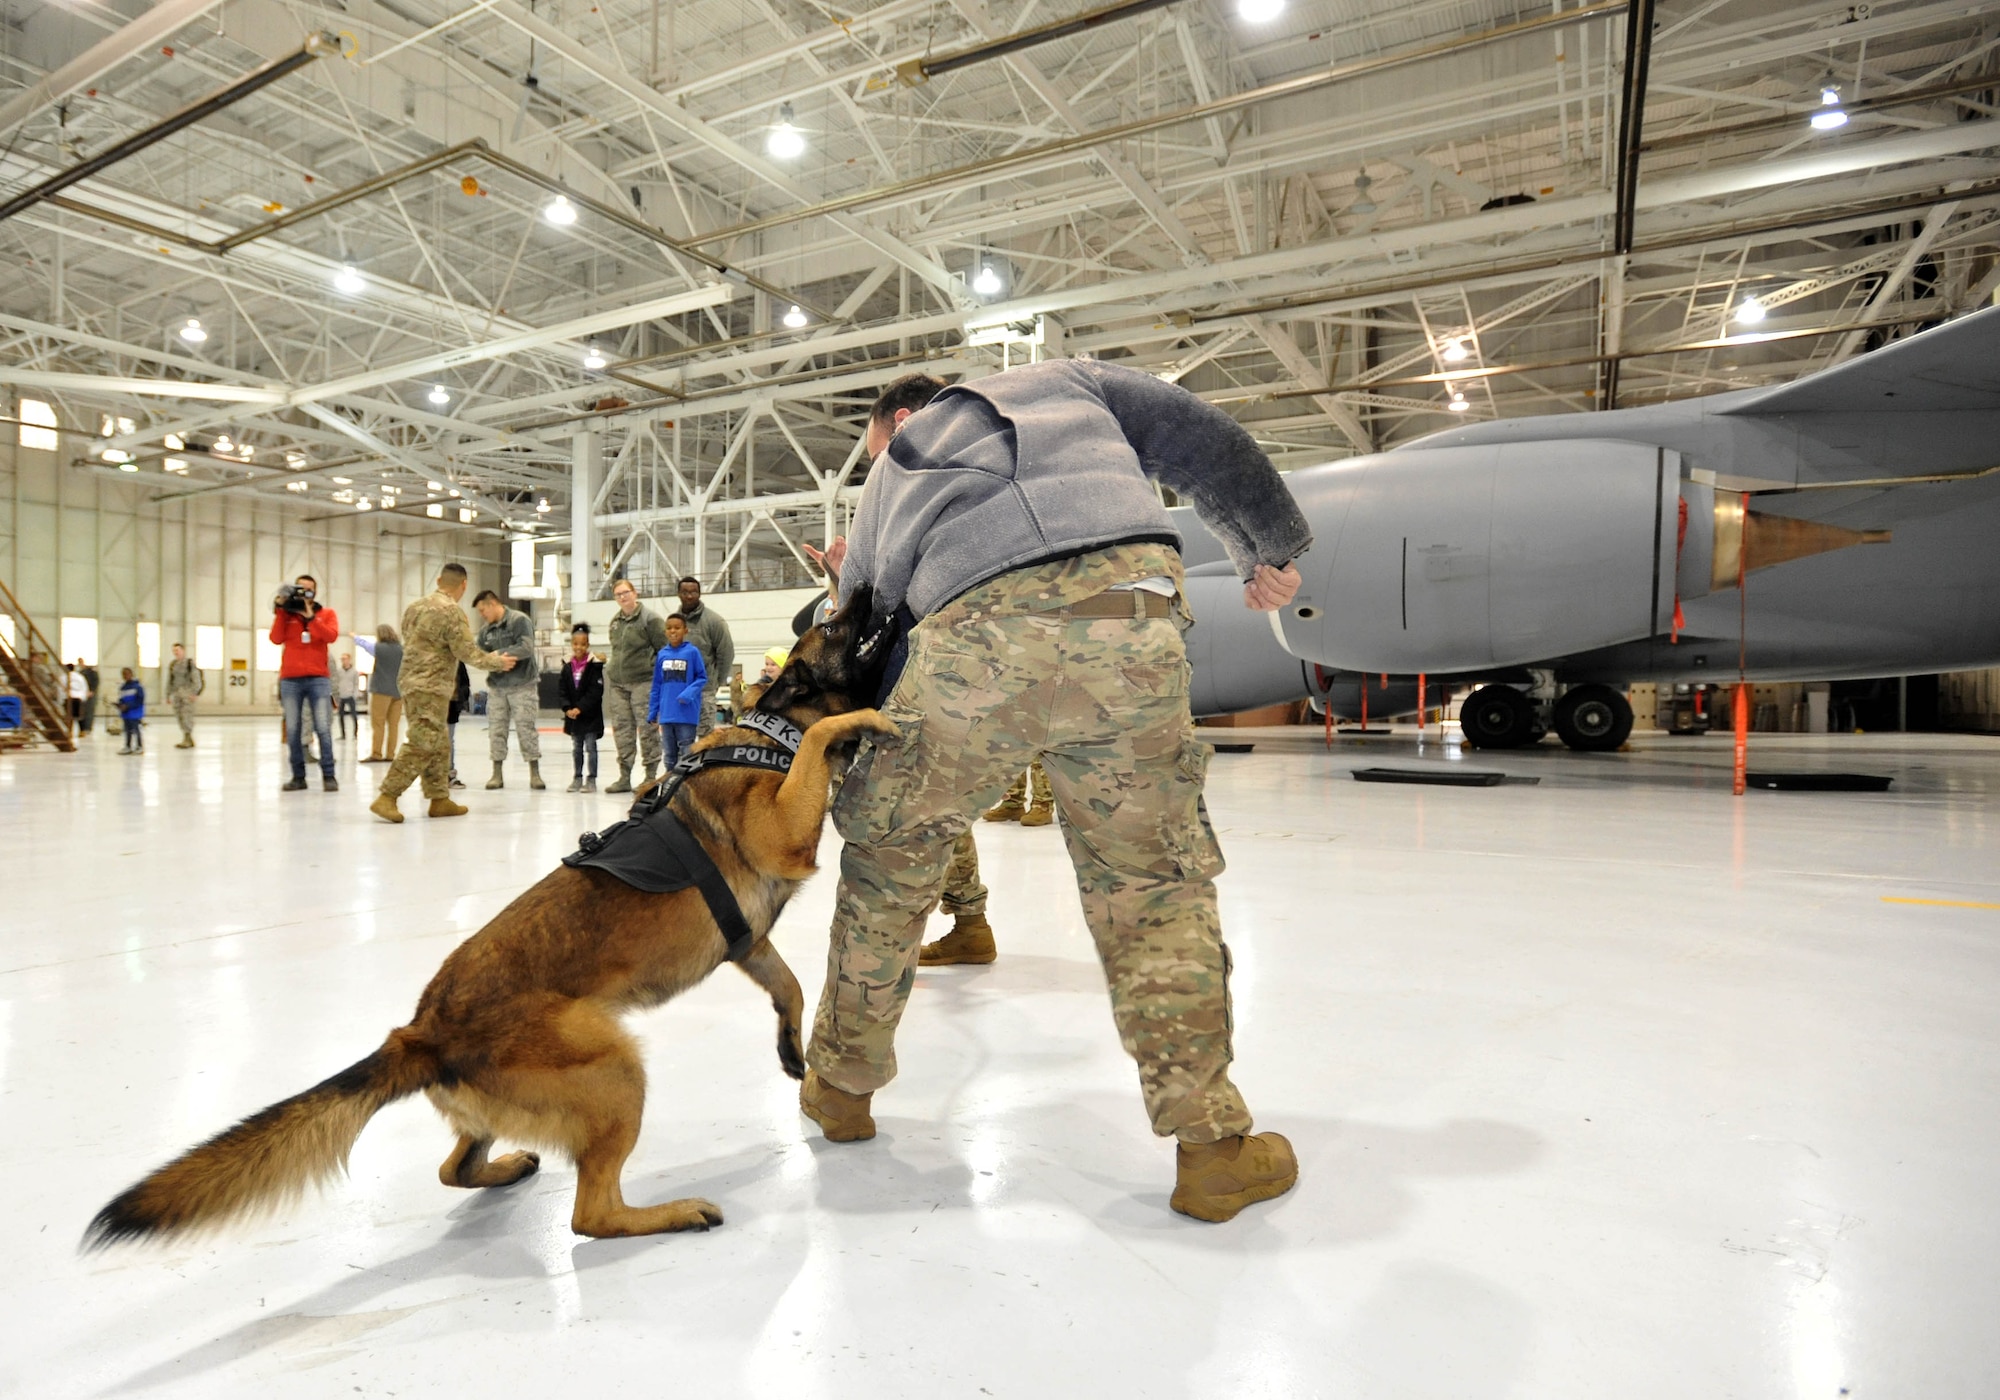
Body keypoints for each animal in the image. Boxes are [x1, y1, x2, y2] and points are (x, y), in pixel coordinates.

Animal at [92, 592, 892, 1248]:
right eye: (832, 625)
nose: (863, 587)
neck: (770, 728)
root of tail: (421, 1033)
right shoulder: (784, 836)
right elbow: (822, 742)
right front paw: (857, 720)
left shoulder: (748, 943)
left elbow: (790, 986)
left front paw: (793, 1048)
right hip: (615, 1069)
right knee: (589, 1215)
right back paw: (669, 1213)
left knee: (457, 1167)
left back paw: (505, 1169)